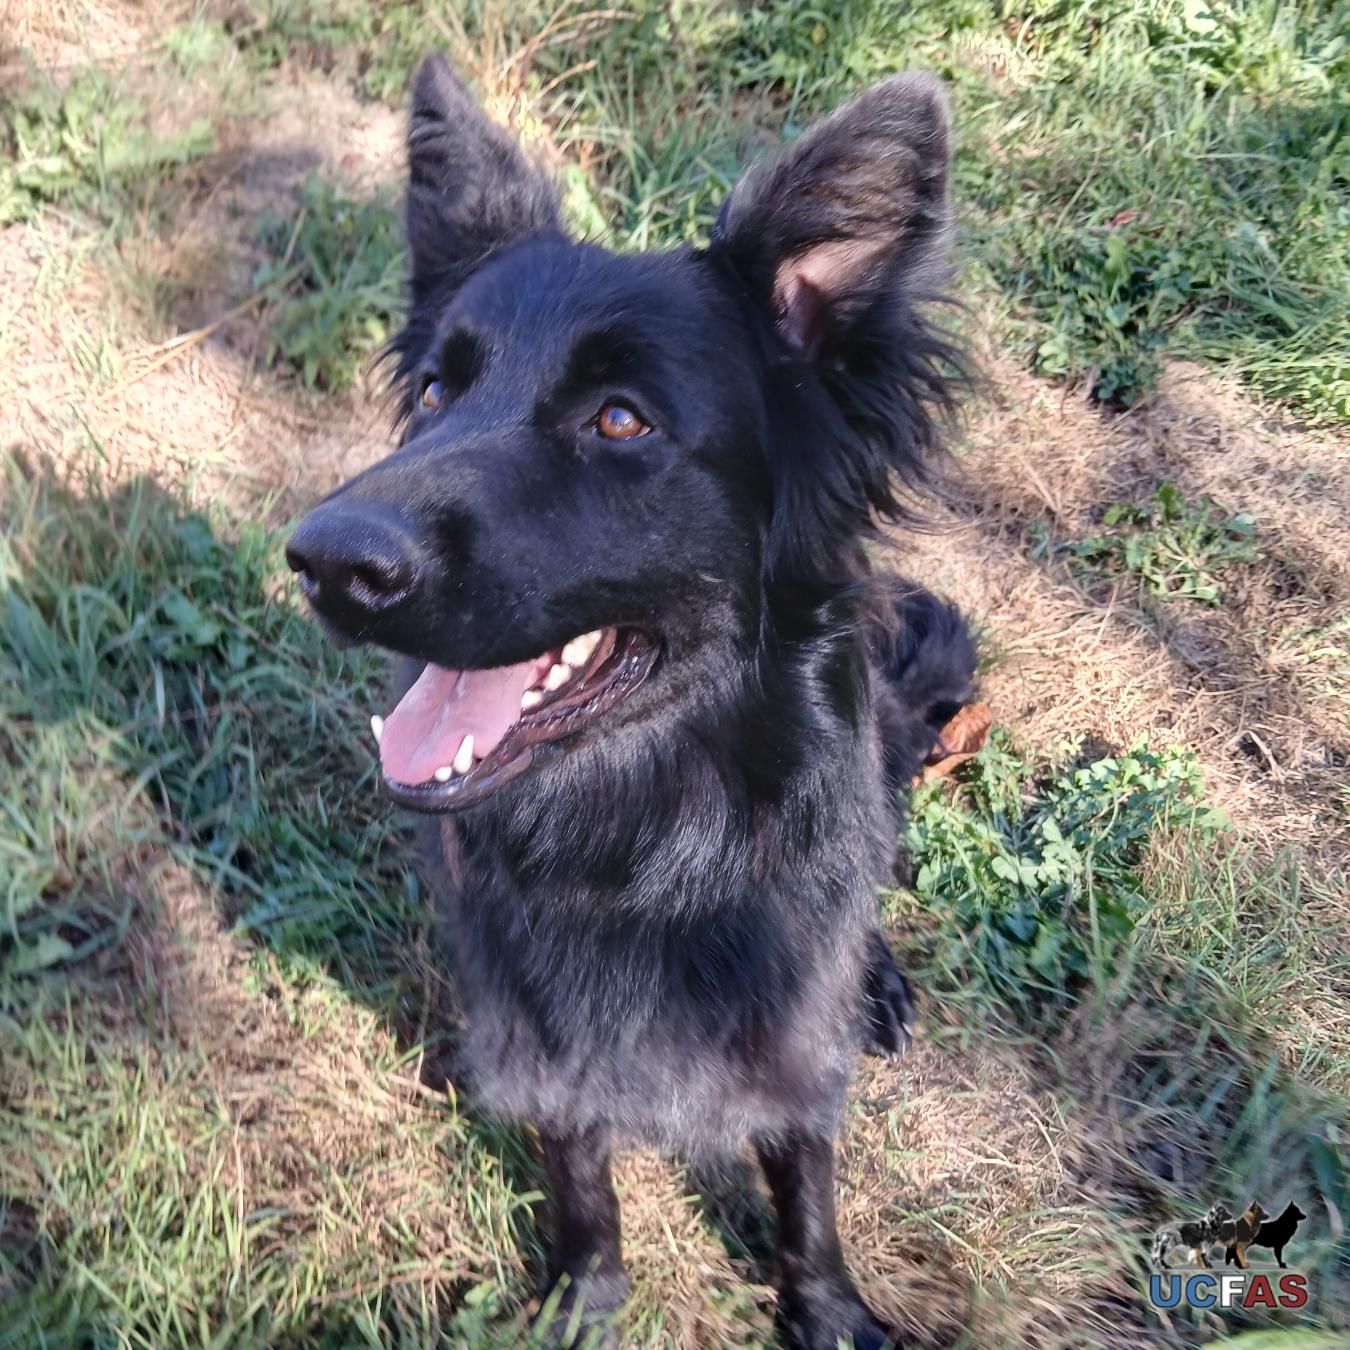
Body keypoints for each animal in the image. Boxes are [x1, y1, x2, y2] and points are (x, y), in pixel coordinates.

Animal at [287, 53, 975, 1349]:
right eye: (439, 390)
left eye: (620, 419)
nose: (325, 562)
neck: (646, 843)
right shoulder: (541, 1030)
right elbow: (580, 1172)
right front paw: (585, 1290)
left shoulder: (788, 1034)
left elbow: (805, 1178)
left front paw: (826, 1306)